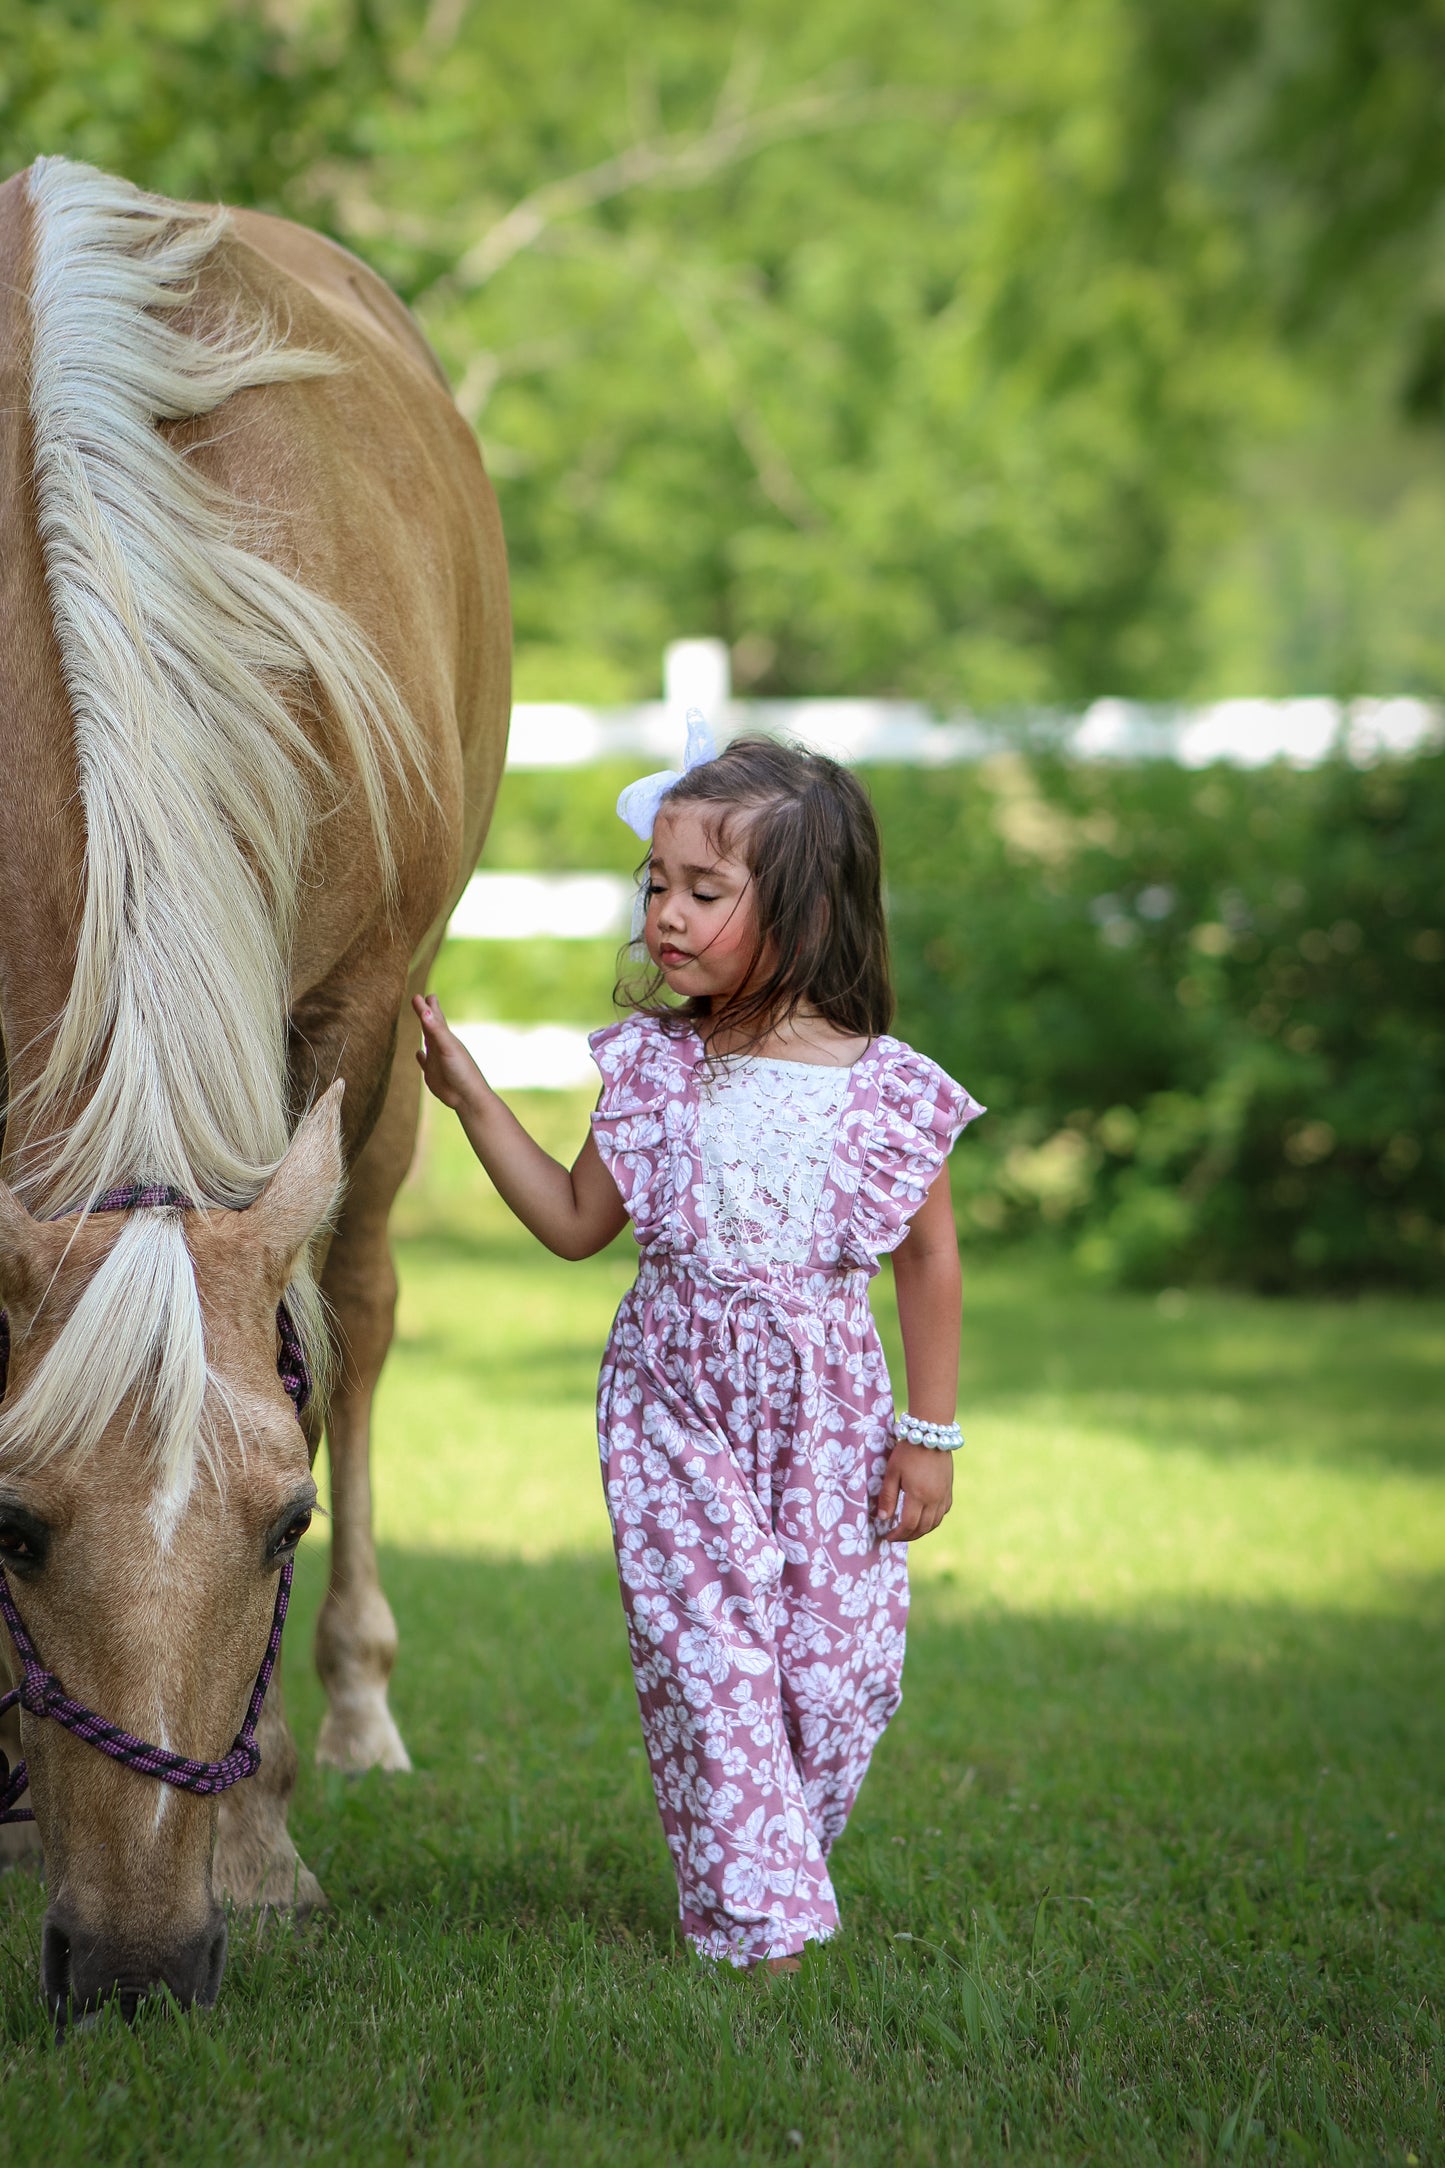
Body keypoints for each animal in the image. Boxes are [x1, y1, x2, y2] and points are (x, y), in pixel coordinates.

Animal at [0, 160, 509, 2020]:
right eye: (13, 1526)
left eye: (280, 1520)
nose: (139, 1965)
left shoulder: (349, 1017)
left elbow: (311, 1349)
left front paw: (266, 1835)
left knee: (356, 1313)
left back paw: (353, 1715)